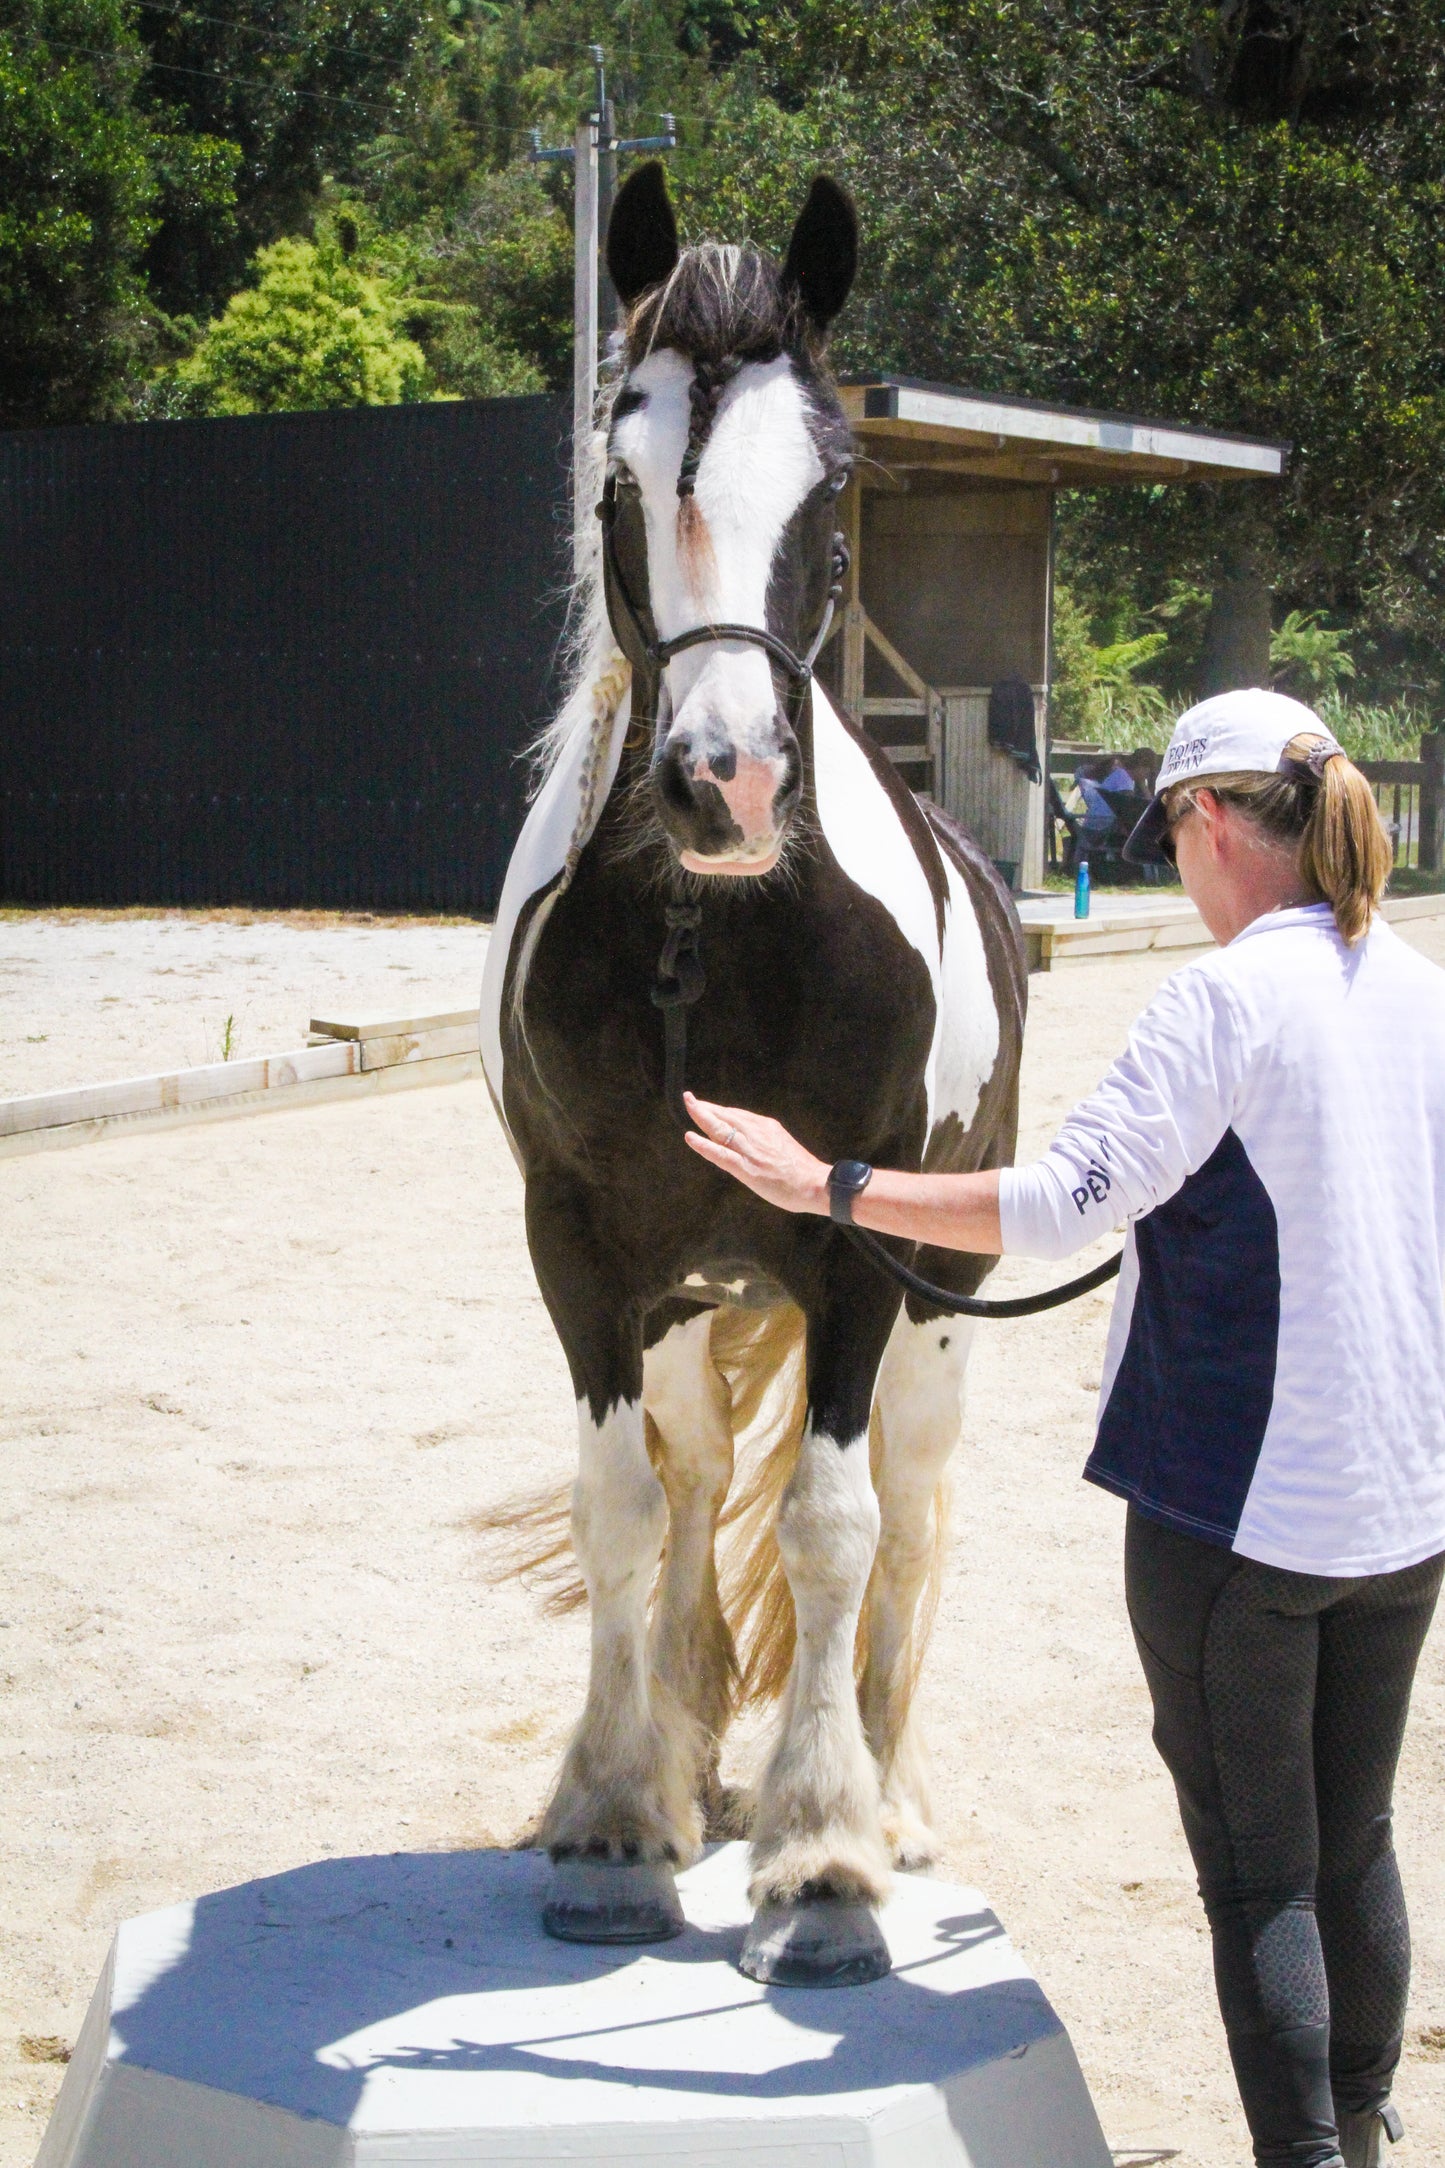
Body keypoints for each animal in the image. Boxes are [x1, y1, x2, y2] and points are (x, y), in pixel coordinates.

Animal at [480, 157, 1022, 1985]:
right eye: (614, 481)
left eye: (836, 483)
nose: (726, 785)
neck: (709, 943)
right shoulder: (582, 1252)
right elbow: (627, 1511)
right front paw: (611, 1811)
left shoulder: (856, 1264)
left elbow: (834, 1529)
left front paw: (824, 1848)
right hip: (689, 1302)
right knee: (704, 1481)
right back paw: (690, 1746)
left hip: (940, 1304)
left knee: (912, 1520)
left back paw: (893, 1797)